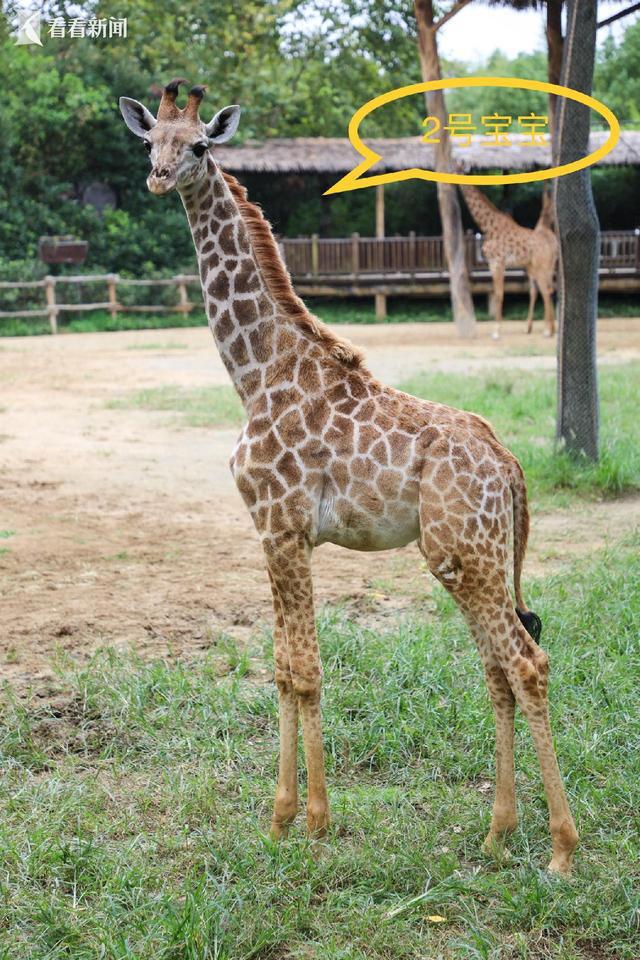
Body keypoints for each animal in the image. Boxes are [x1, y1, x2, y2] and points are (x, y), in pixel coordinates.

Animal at [460, 185, 560, 342]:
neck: (487, 226)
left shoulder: (497, 263)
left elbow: (499, 294)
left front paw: (496, 332)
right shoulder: (496, 264)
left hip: (541, 267)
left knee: (546, 291)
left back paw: (547, 331)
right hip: (544, 268)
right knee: (546, 290)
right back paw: (550, 329)